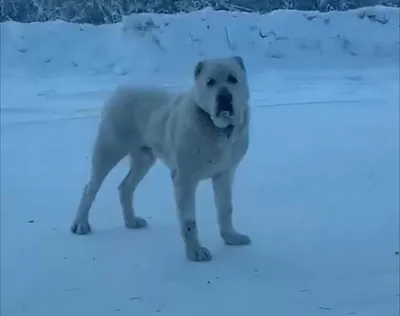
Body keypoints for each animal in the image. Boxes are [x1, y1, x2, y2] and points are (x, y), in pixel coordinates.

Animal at [69, 56, 250, 262]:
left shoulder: (224, 174)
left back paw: (131, 221)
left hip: (144, 159)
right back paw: (81, 224)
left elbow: (226, 209)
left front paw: (231, 237)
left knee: (125, 187)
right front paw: (195, 251)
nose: (224, 98)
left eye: (233, 79)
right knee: (90, 188)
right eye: (210, 82)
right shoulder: (184, 180)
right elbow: (189, 220)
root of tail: (122, 89)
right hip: (108, 150)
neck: (218, 129)